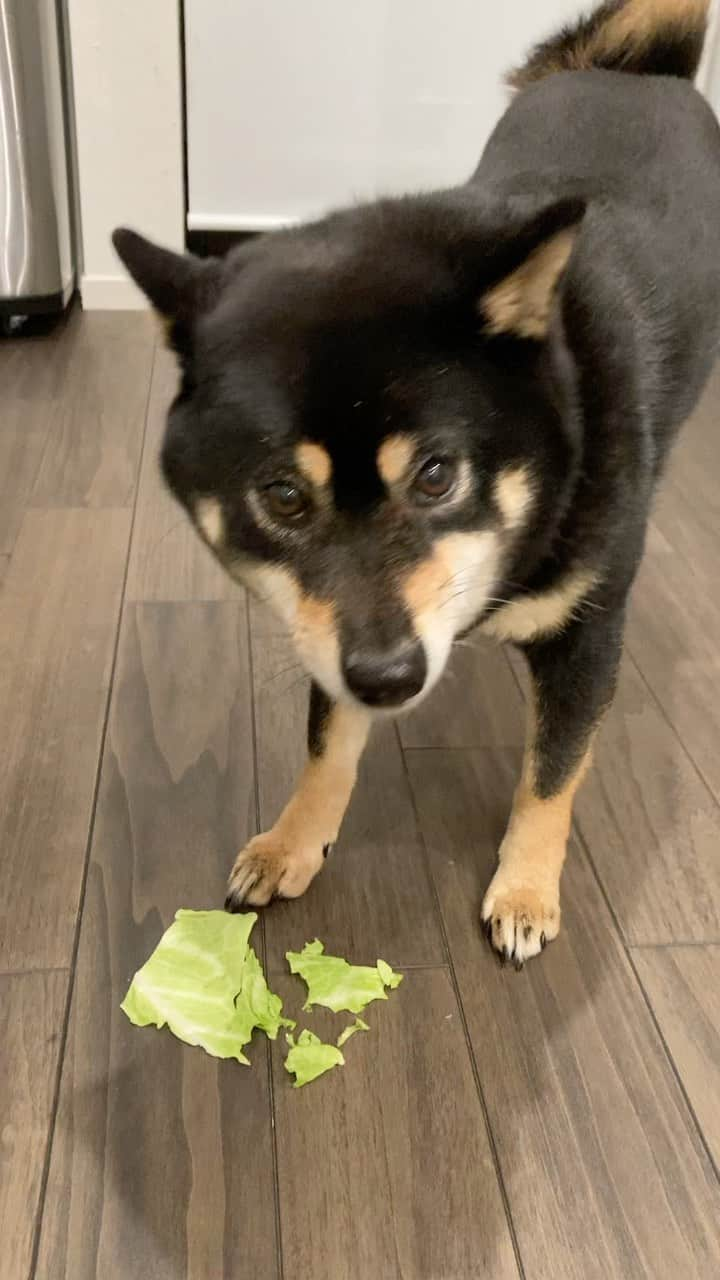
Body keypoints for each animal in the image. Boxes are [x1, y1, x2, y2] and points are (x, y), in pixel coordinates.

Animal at [112, 0, 717, 962]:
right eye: (283, 497)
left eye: (437, 477)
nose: (392, 680)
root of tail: (638, 71)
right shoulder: (335, 636)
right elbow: (328, 746)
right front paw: (293, 842)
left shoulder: (587, 634)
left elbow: (552, 774)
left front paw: (526, 890)